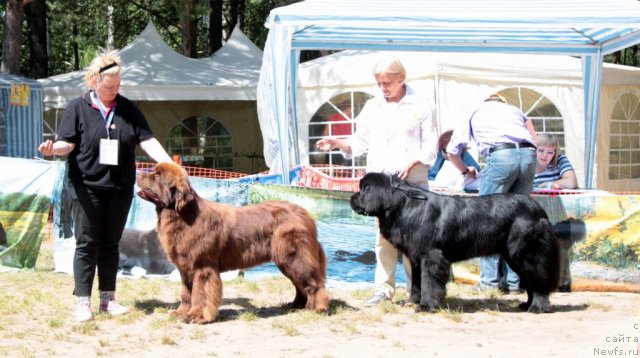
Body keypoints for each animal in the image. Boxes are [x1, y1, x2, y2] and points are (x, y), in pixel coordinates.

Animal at [136, 163, 330, 324]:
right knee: (300, 285)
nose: (138, 172)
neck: (183, 215)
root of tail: (306, 215)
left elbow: (200, 293)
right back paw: (296, 306)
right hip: (286, 260)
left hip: (294, 257)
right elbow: (186, 293)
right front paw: (181, 313)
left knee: (313, 283)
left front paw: (196, 316)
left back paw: (316, 308)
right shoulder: (185, 268)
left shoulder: (202, 267)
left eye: (157, 174)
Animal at [350, 173, 560, 314]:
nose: (352, 198)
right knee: (530, 280)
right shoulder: (416, 257)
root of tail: (538, 208)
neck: (403, 206)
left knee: (538, 280)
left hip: (527, 253)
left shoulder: (431, 256)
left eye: (362, 189)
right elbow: (417, 282)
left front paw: (427, 306)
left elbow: (429, 281)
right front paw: (415, 301)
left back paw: (538, 307)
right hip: (514, 257)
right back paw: (526, 304)